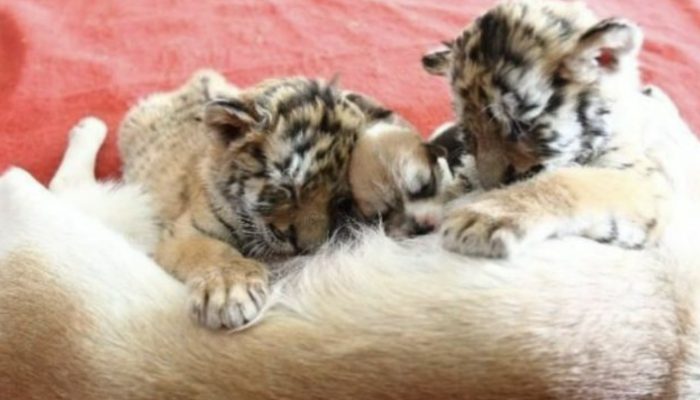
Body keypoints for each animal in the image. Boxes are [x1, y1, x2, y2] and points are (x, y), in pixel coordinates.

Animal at [118, 70, 412, 330]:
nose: (304, 249)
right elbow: (216, 253)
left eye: (341, 201)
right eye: (288, 188)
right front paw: (228, 294)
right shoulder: (185, 231)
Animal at [420, 0, 680, 258]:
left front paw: (483, 218)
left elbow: (571, 180)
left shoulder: (644, 183)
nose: (488, 186)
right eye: (468, 130)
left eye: (519, 127)